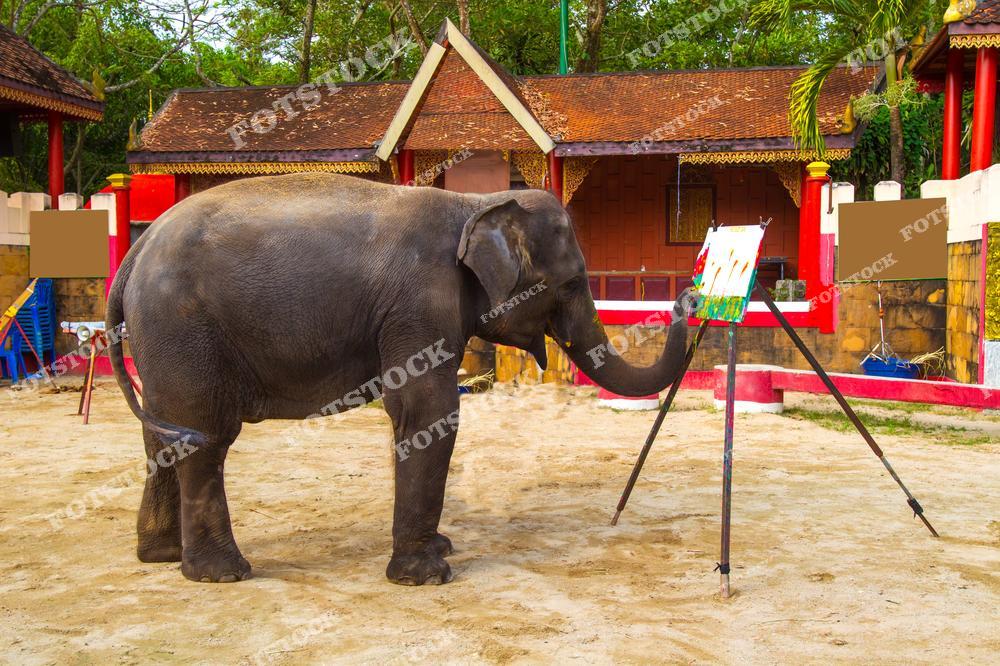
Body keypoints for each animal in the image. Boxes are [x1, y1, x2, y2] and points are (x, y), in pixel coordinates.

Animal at [107, 172, 696, 586]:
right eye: (572, 283)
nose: (689, 297)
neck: (473, 203)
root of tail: (135, 251)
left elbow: (411, 416)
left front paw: (439, 549)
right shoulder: (420, 302)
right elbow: (429, 411)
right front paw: (428, 575)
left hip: (163, 340)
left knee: (165, 431)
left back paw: (161, 555)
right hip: (183, 327)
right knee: (205, 436)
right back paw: (222, 572)